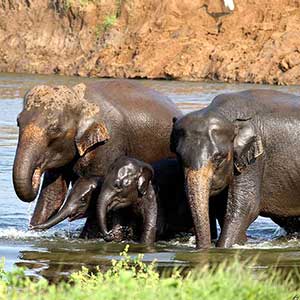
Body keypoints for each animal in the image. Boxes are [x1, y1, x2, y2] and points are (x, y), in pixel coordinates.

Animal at [14, 79, 180, 234]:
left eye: (54, 128)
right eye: (18, 122)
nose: (37, 171)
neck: (80, 99)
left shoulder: (108, 142)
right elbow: (53, 194)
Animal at [172, 88, 300, 248]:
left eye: (218, 158)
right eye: (178, 157)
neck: (225, 115)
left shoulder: (255, 160)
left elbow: (245, 208)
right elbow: (223, 209)